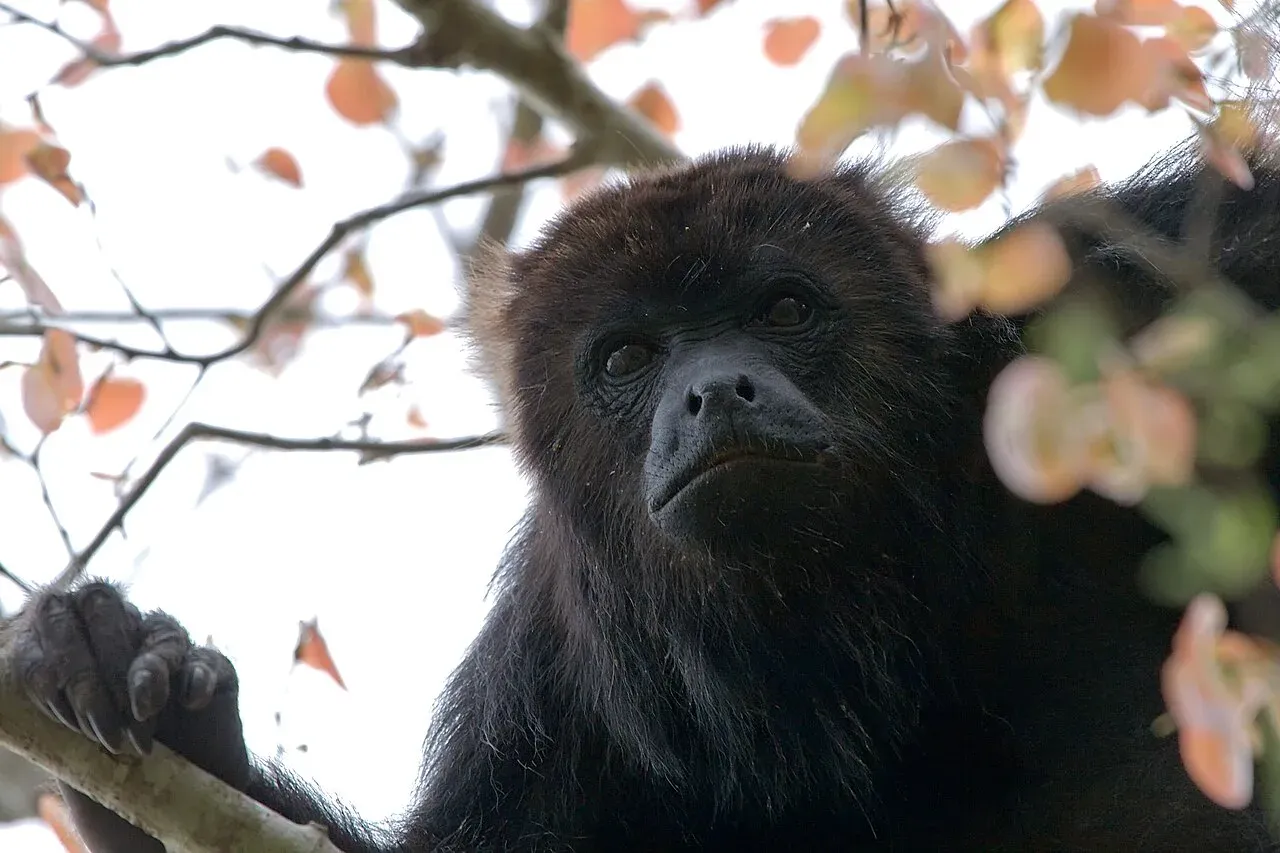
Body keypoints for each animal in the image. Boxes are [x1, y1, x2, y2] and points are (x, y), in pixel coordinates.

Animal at [6, 140, 1280, 852]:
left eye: (782, 308)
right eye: (625, 359)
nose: (713, 390)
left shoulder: (1109, 294)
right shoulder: (552, 694)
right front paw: (145, 683)